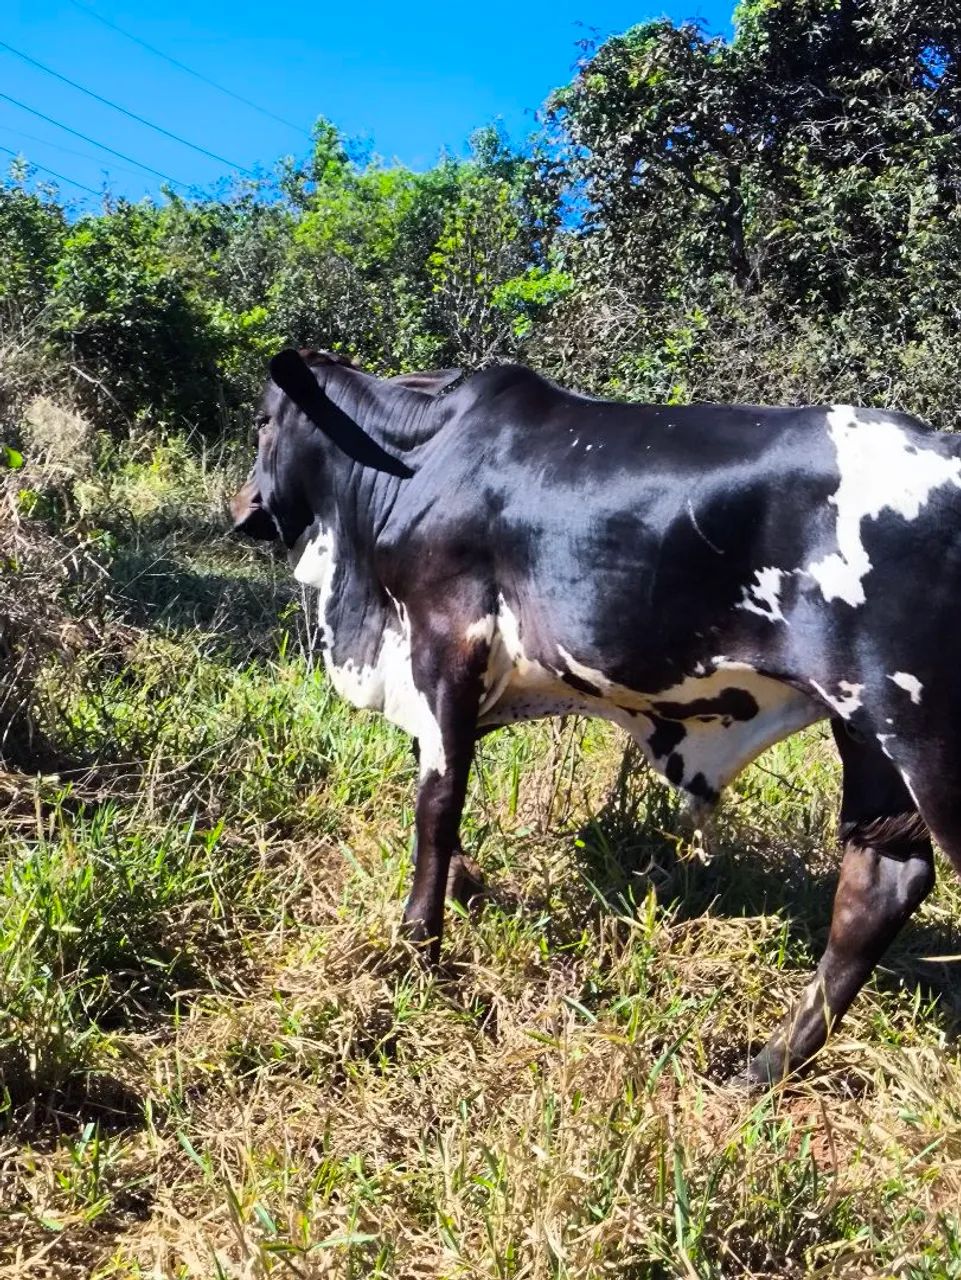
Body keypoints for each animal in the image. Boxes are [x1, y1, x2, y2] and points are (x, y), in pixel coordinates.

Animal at [232, 345, 959, 1087]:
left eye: (262, 420)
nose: (243, 506)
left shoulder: (445, 644)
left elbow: (436, 807)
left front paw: (416, 946)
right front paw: (465, 890)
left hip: (924, 736)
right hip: (864, 729)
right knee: (881, 882)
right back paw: (764, 1066)